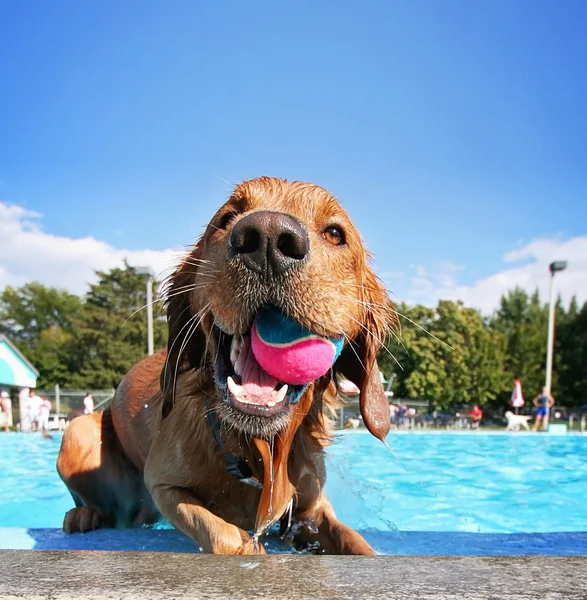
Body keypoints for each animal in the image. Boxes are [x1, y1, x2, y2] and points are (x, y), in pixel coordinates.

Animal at [57, 176, 398, 556]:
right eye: (227, 218)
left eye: (335, 233)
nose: (267, 237)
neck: (257, 450)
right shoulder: (163, 484)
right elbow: (226, 535)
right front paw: (252, 551)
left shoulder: (310, 510)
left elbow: (354, 542)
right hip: (77, 431)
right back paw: (83, 515)